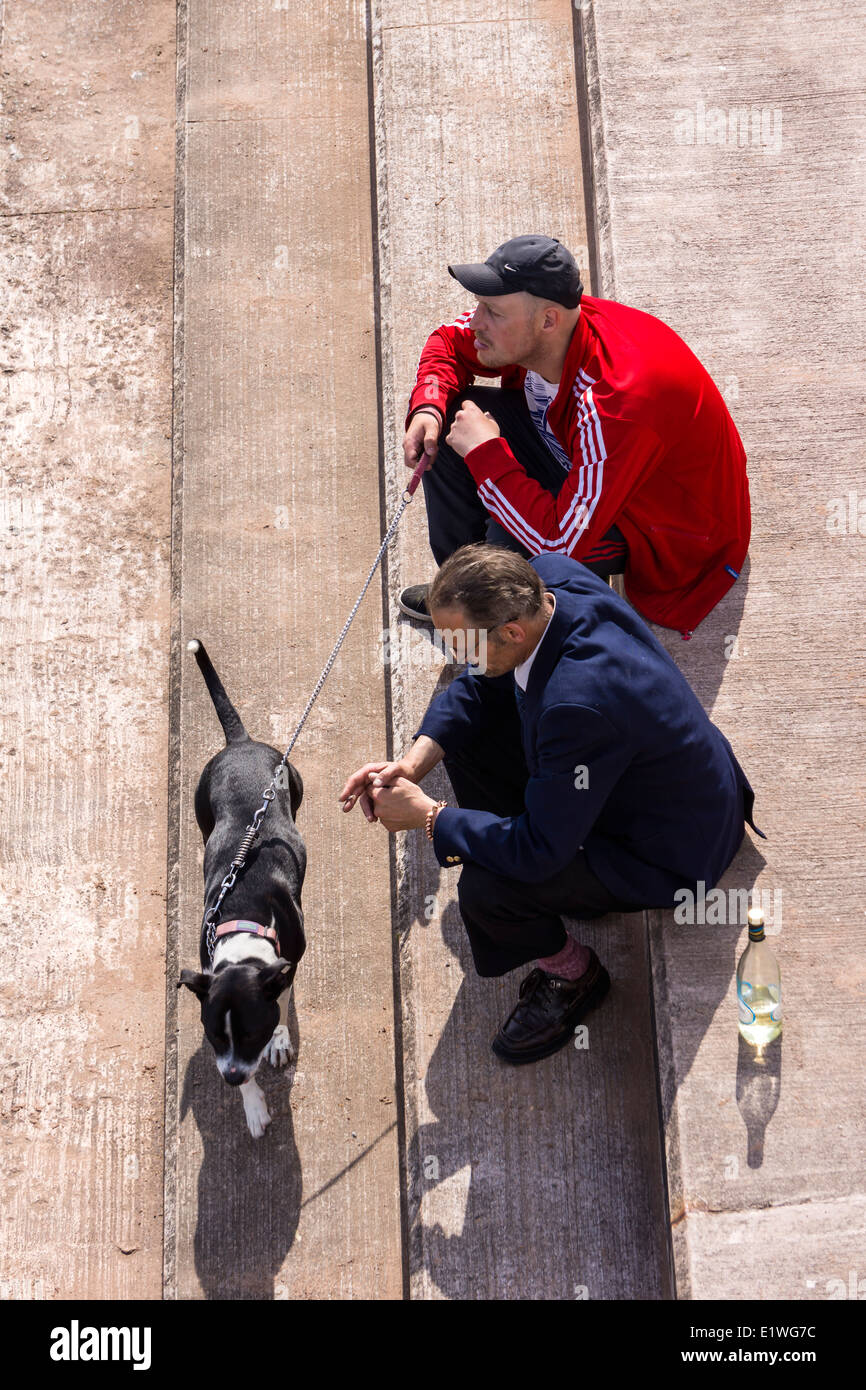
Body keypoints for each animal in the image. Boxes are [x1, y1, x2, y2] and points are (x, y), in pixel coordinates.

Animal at [177, 639, 307, 1139]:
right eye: (214, 1035)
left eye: (252, 1032)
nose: (231, 1077)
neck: (245, 921)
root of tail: (241, 742)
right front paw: (252, 1105)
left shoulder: (289, 961)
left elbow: (284, 1000)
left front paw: (279, 1040)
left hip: (295, 785)